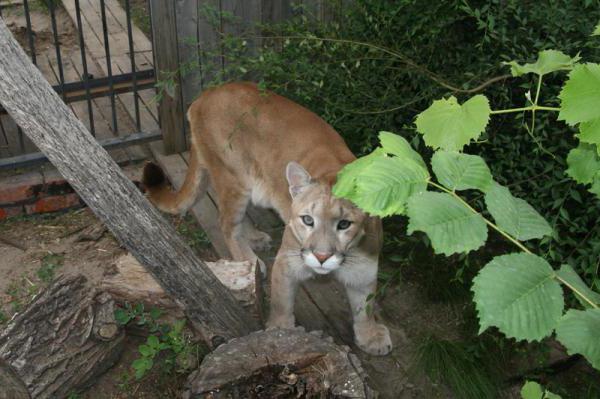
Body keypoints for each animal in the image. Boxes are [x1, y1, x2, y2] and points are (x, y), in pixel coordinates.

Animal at [142, 82, 394, 356]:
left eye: (344, 224)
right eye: (307, 220)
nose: (321, 257)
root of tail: (206, 94)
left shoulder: (365, 267)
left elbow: (365, 307)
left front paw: (371, 336)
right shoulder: (287, 261)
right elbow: (282, 300)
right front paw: (280, 331)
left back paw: (254, 238)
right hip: (234, 178)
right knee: (226, 223)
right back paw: (251, 261)